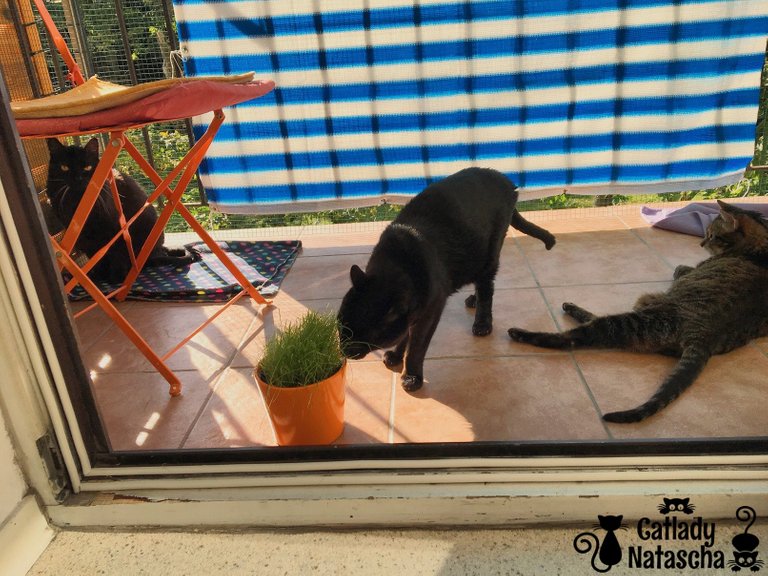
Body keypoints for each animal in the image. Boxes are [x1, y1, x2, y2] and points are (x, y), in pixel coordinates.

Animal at [45, 138, 198, 286]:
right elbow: (96, 258)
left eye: (87, 167)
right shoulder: (84, 238)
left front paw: (116, 278)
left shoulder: (116, 230)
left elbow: (117, 254)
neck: (77, 202)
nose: (78, 179)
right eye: (64, 167)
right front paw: (98, 277)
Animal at [340, 166, 556, 392]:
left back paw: (482, 323)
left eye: (357, 334)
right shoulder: (415, 311)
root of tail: (503, 178)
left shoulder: (431, 309)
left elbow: (416, 347)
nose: (343, 349)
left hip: (490, 253)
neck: (398, 261)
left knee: (487, 289)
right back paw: (473, 300)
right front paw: (397, 356)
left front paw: (412, 377)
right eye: (340, 325)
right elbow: (406, 334)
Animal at [510, 201, 768, 424]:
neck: (760, 246)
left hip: (639, 314)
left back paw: (524, 331)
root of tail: (705, 337)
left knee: (575, 337)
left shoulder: (687, 271)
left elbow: (680, 268)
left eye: (712, 235)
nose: (702, 244)